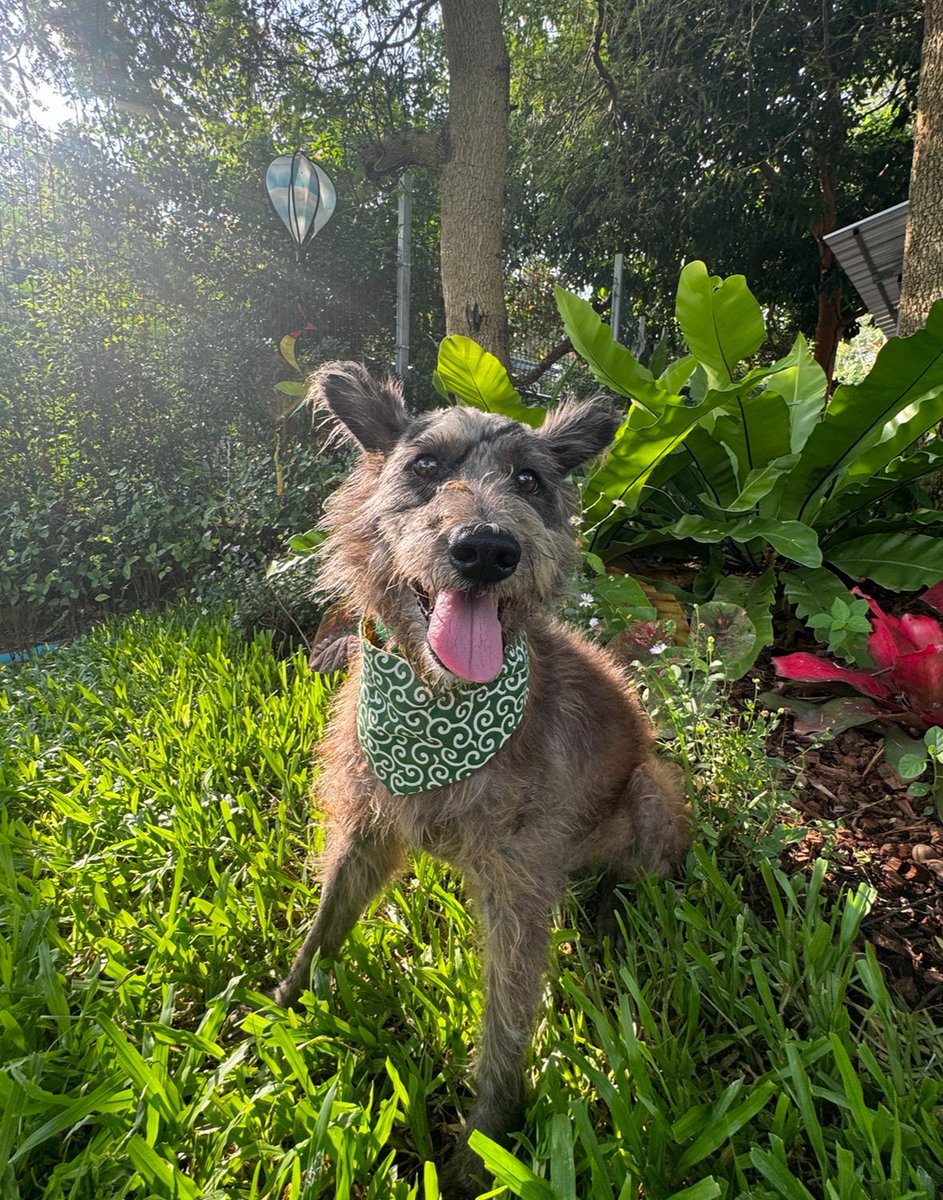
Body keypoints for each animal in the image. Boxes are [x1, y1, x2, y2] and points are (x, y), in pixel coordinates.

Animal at [273, 360, 691, 1195]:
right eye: (426, 468)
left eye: (529, 481)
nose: (486, 549)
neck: (440, 710)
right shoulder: (365, 827)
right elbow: (324, 925)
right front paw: (281, 1005)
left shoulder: (518, 889)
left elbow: (505, 1024)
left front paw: (480, 1152)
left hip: (649, 791)